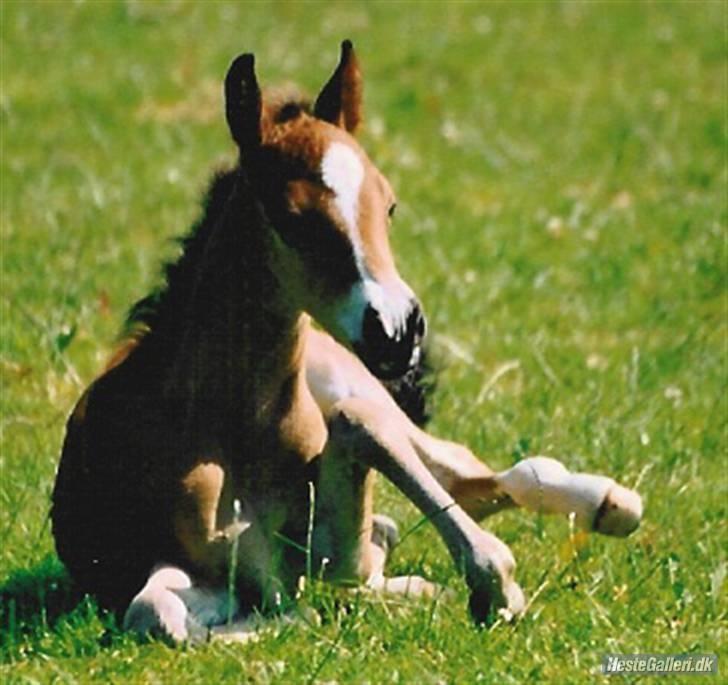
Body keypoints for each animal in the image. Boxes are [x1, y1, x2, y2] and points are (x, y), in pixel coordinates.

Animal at [51, 41, 642, 642]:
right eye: (292, 218)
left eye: (390, 204)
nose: (398, 328)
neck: (234, 424)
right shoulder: (211, 565)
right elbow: (161, 613)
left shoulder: (329, 524)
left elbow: (360, 454)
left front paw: (489, 588)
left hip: (352, 377)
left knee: (471, 470)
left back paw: (609, 503)